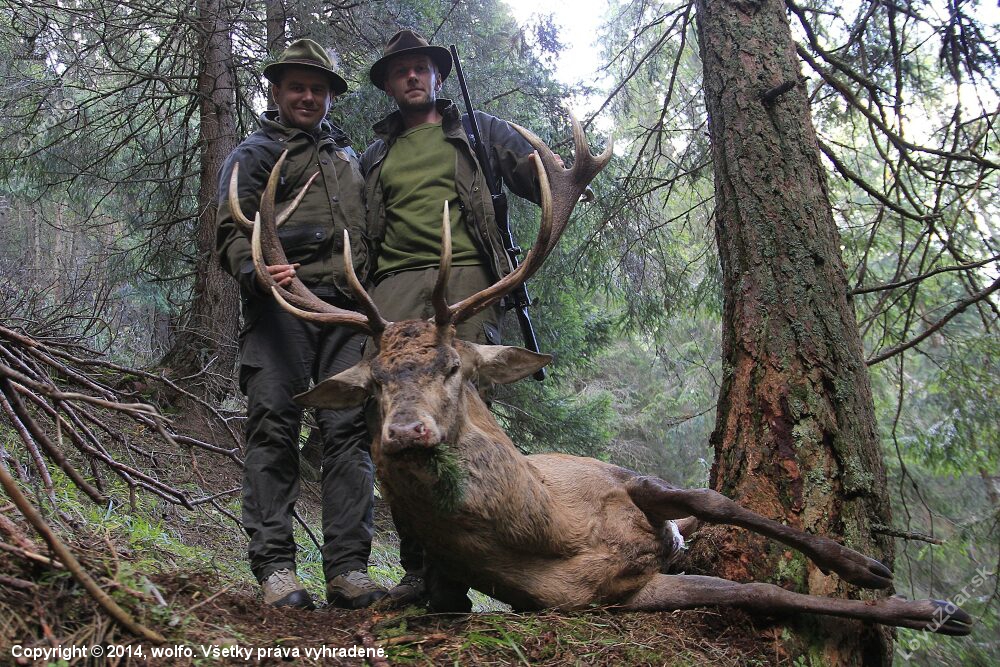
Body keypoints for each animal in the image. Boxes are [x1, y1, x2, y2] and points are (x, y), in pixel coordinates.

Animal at [227, 116, 972, 636]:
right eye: (376, 382)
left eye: (453, 366)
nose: (407, 430)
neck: (556, 528)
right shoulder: (613, 596)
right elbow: (761, 592)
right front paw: (933, 610)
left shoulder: (618, 474)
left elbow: (719, 501)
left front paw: (868, 566)